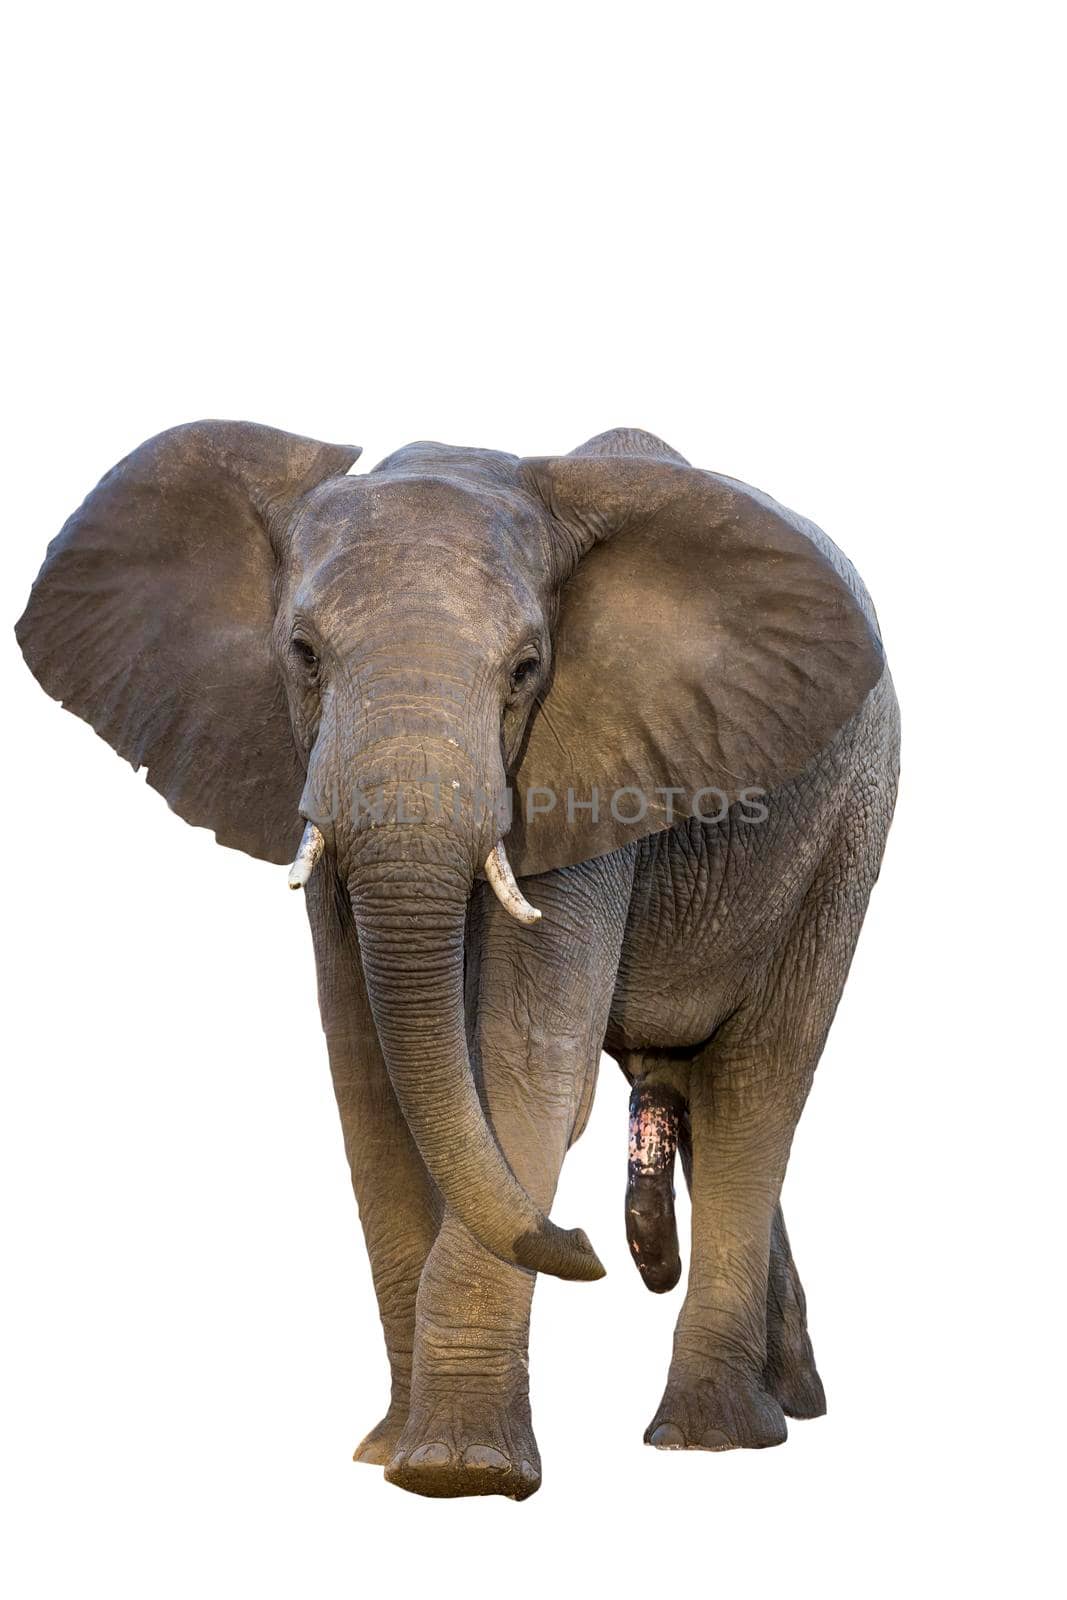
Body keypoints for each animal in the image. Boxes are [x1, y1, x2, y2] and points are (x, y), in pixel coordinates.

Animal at [16, 419, 902, 1491]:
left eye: (526, 669)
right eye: (302, 655)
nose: (585, 1246)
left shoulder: (587, 775)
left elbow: (524, 1063)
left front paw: (460, 1474)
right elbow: (368, 1074)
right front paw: (392, 1454)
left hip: (848, 826)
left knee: (757, 1082)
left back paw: (709, 1437)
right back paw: (789, 1405)